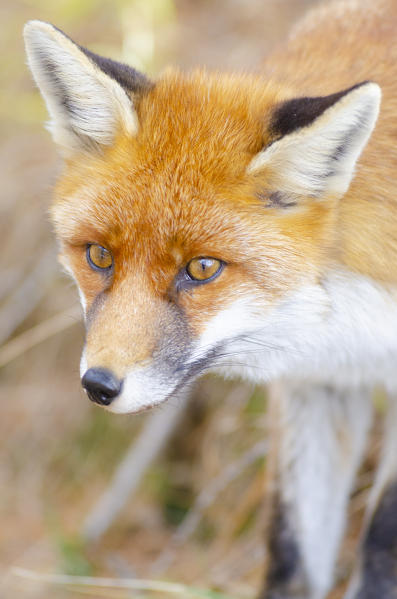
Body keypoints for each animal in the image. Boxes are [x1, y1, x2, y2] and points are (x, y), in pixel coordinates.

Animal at [24, 1, 396, 596]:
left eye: (201, 268)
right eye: (100, 256)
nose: (98, 386)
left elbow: (381, 548)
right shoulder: (320, 380)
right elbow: (291, 552)